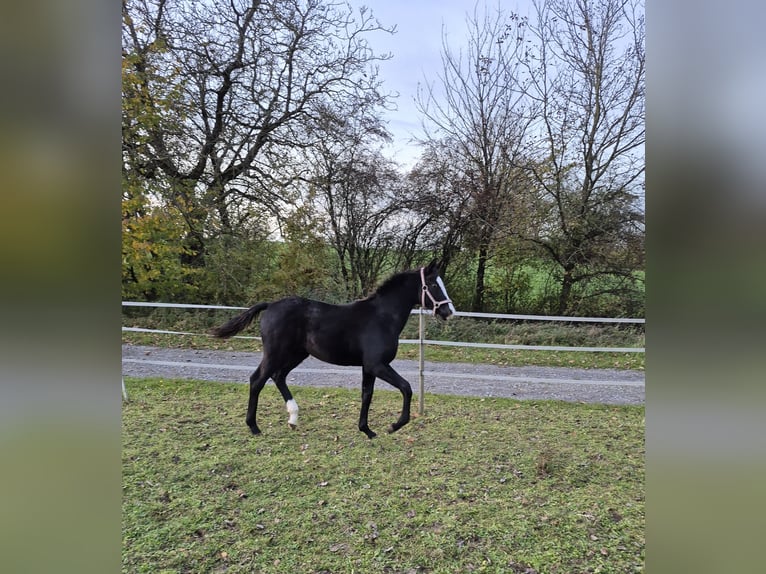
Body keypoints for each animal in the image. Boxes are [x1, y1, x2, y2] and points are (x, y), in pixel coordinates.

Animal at [210, 260, 455, 438]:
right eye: (434, 285)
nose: (449, 312)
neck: (382, 317)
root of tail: (270, 305)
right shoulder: (377, 365)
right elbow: (406, 388)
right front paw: (394, 426)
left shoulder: (368, 367)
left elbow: (367, 395)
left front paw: (367, 430)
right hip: (275, 353)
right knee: (257, 380)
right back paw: (254, 427)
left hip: (296, 354)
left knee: (278, 377)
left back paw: (293, 419)